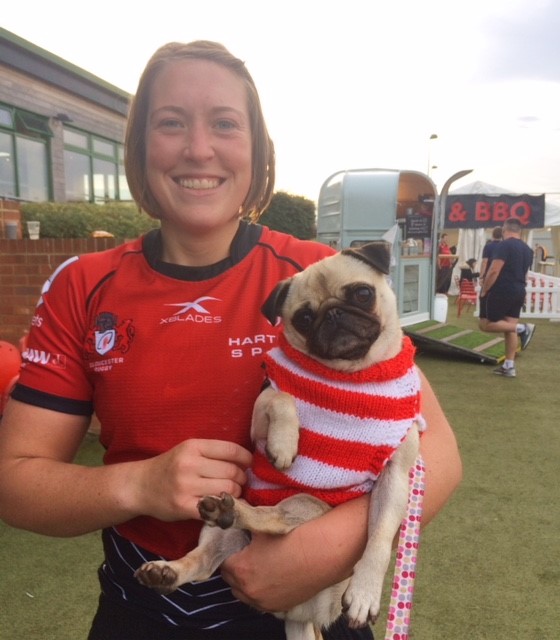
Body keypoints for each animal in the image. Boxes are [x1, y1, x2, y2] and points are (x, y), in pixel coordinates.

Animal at [136, 241, 424, 640]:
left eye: (362, 294)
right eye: (304, 318)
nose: (333, 314)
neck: (350, 378)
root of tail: (299, 614)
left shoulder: (395, 476)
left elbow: (380, 538)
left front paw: (365, 591)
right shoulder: (261, 412)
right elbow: (283, 397)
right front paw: (286, 444)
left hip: (310, 507)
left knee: (269, 526)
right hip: (248, 527)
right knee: (209, 558)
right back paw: (177, 560)